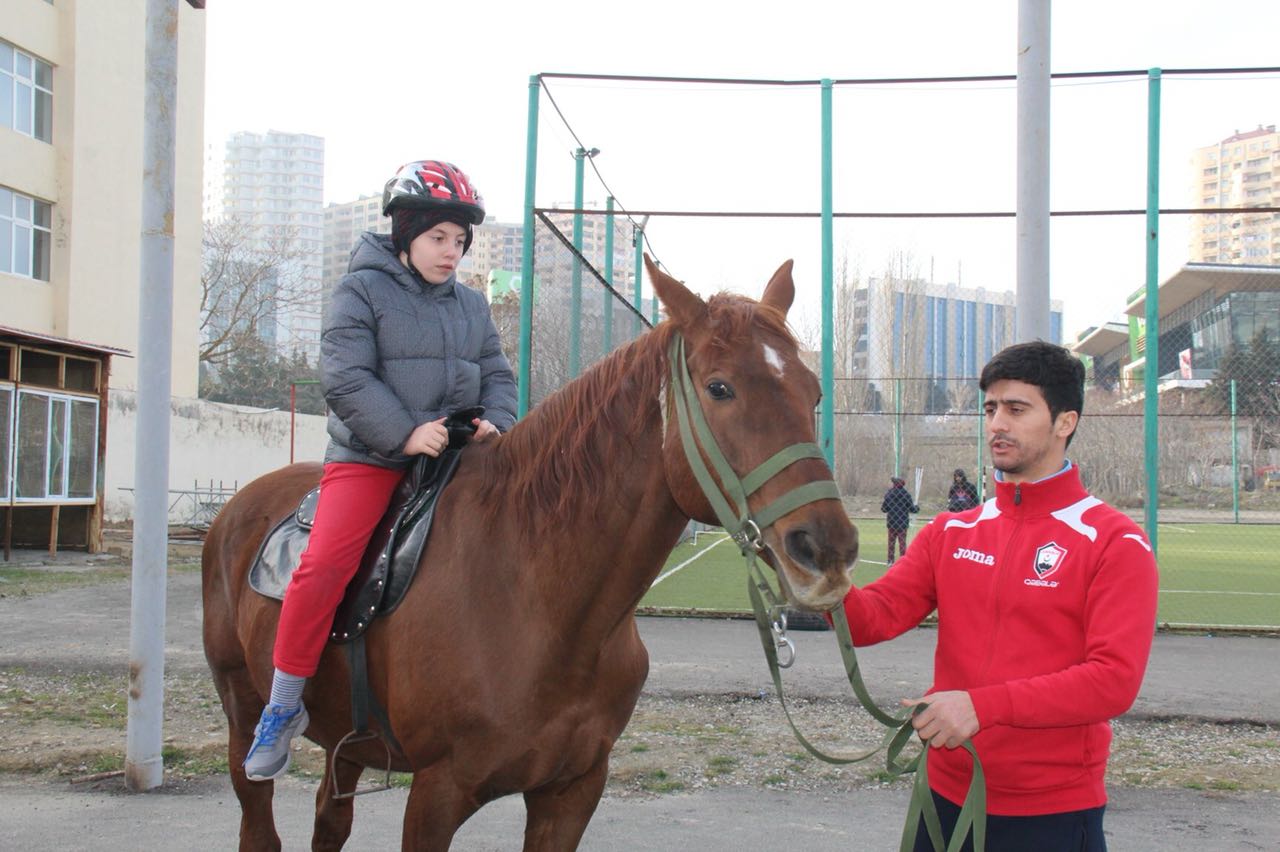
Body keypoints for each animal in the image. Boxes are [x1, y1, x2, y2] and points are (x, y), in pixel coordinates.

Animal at [199, 258, 860, 849]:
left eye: (813, 391)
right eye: (720, 388)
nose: (827, 549)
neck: (534, 594)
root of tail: (239, 507)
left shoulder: (572, 791)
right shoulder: (436, 794)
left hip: (348, 744)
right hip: (242, 715)